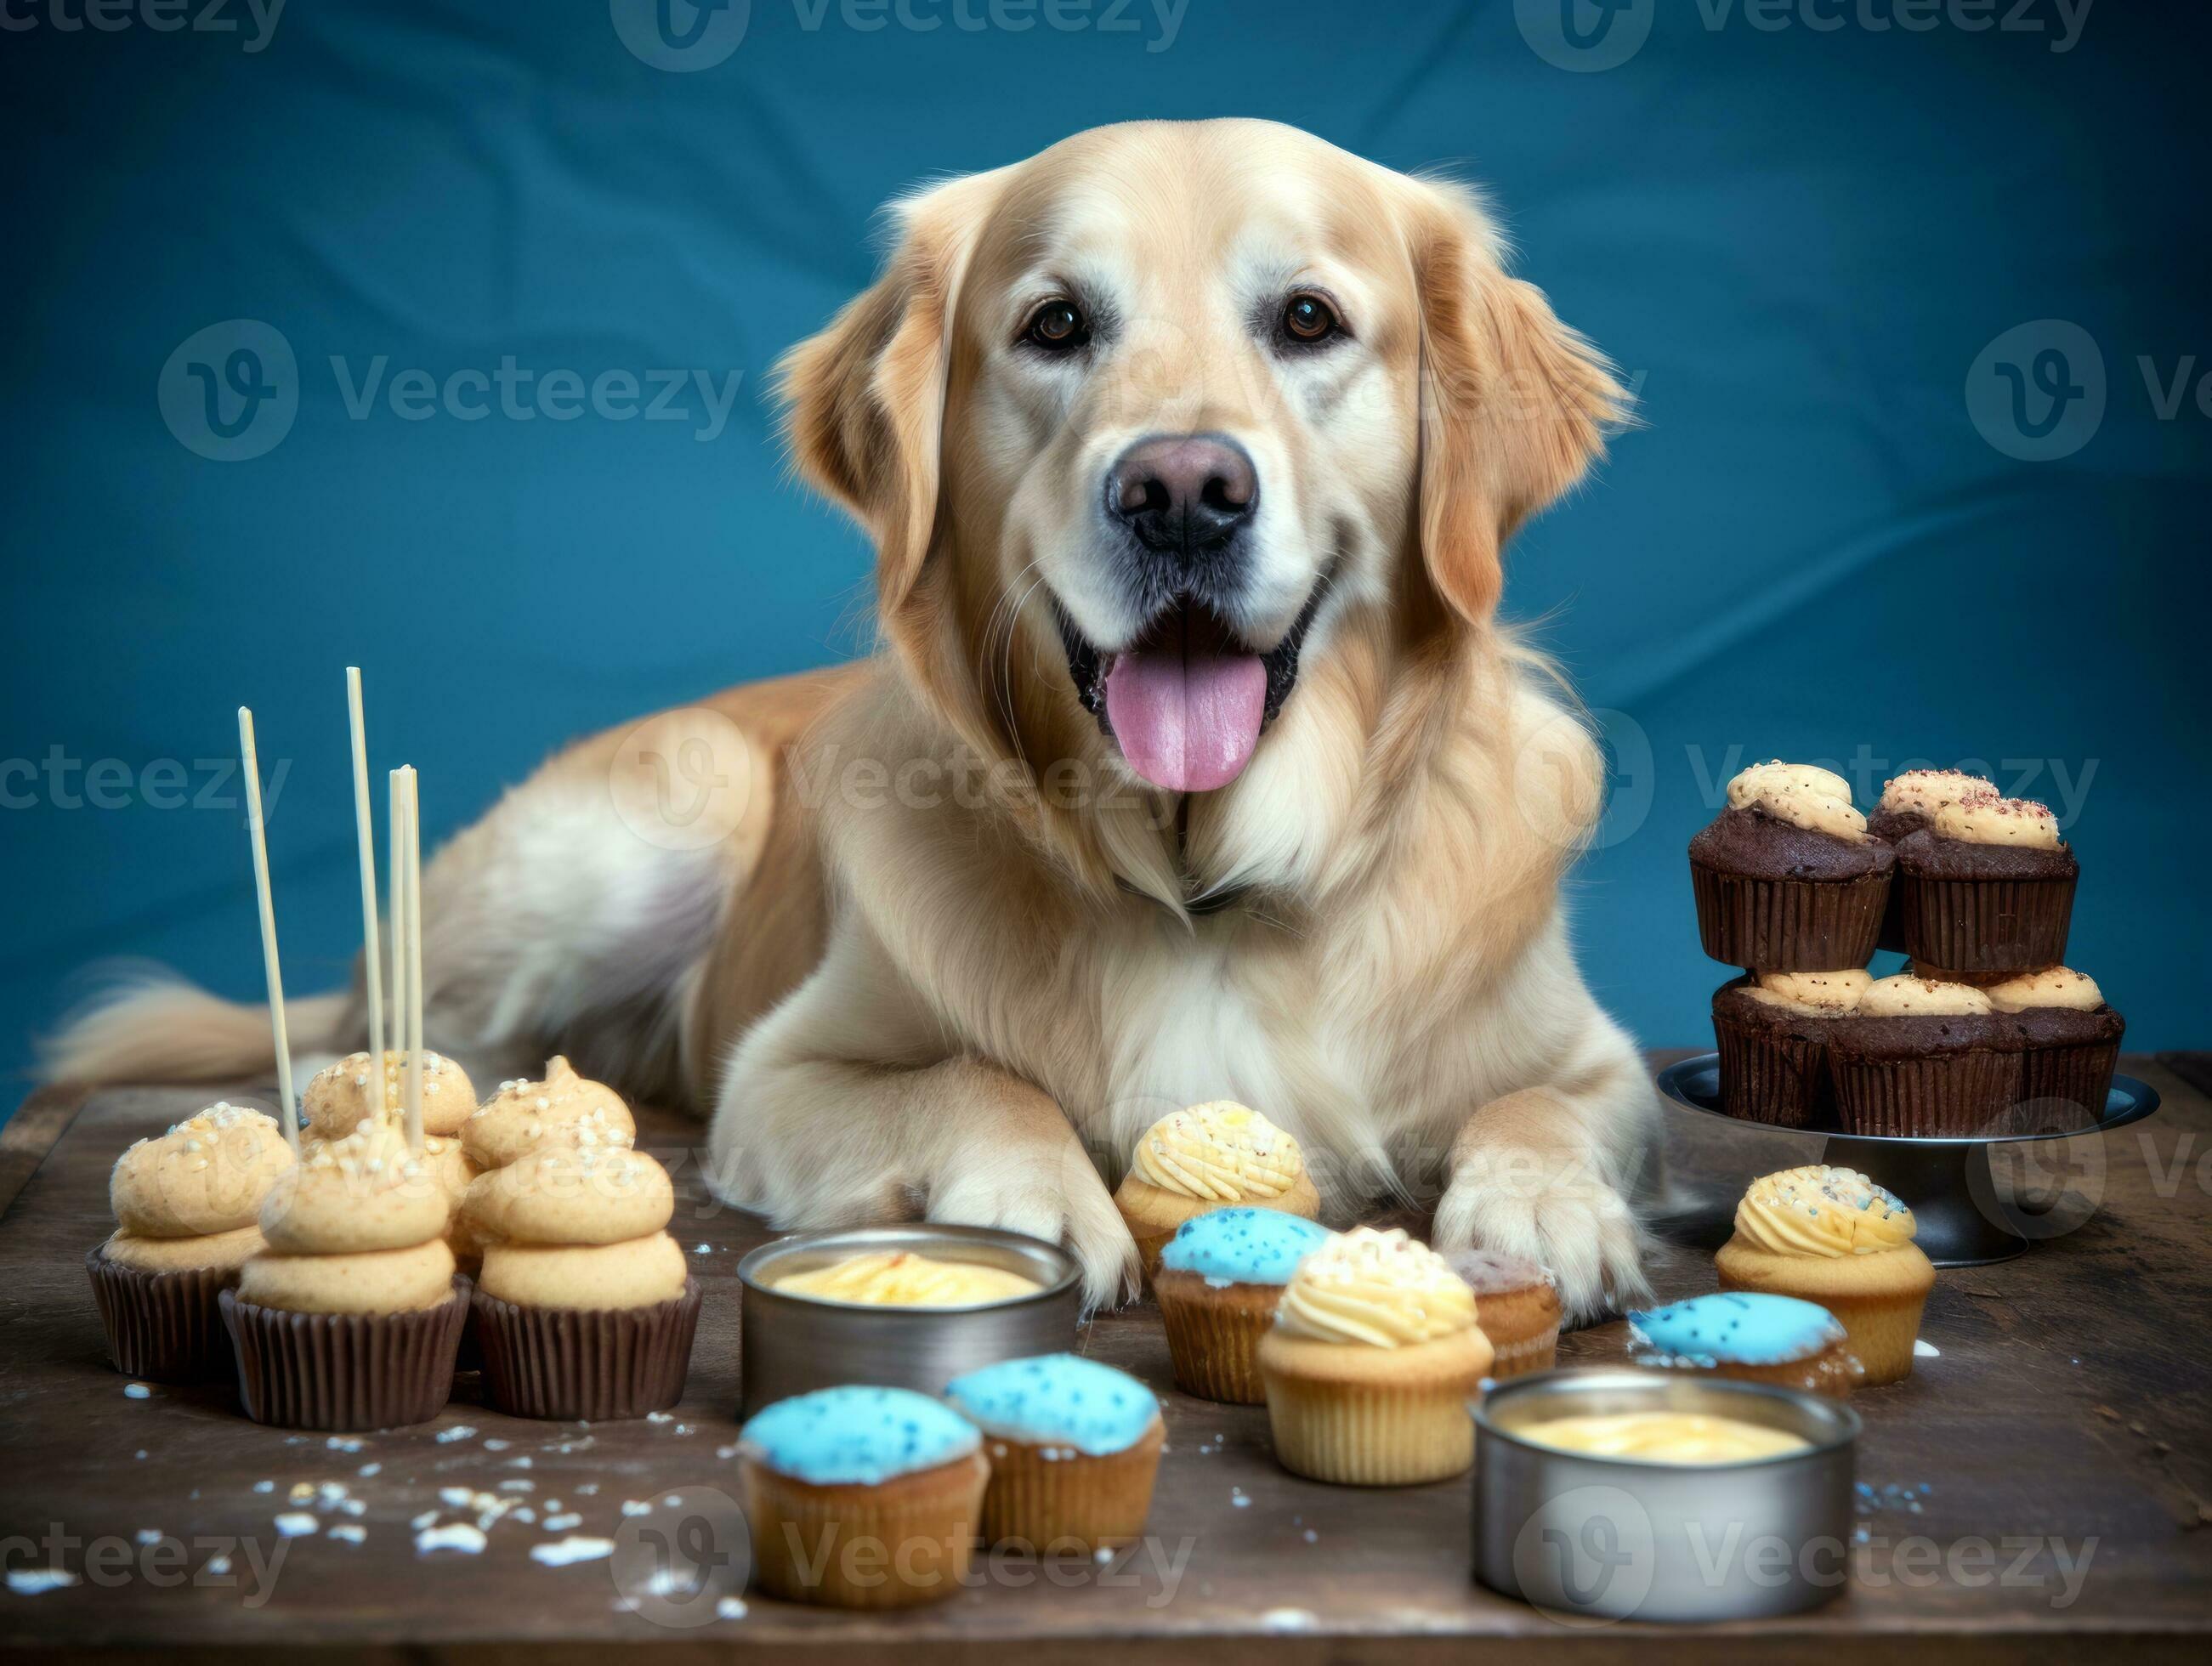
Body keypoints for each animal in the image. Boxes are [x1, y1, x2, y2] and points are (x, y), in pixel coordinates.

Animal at [47, 116, 1663, 1318]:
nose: (1182, 493)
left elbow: (1542, 1106)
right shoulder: (784, 1070)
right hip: (652, 817)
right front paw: (1028, 1195)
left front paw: (1539, 1206)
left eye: (1310, 320)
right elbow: (969, 1079)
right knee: (363, 1041)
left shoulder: (1599, 1059)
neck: (1197, 883)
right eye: (1056, 324)